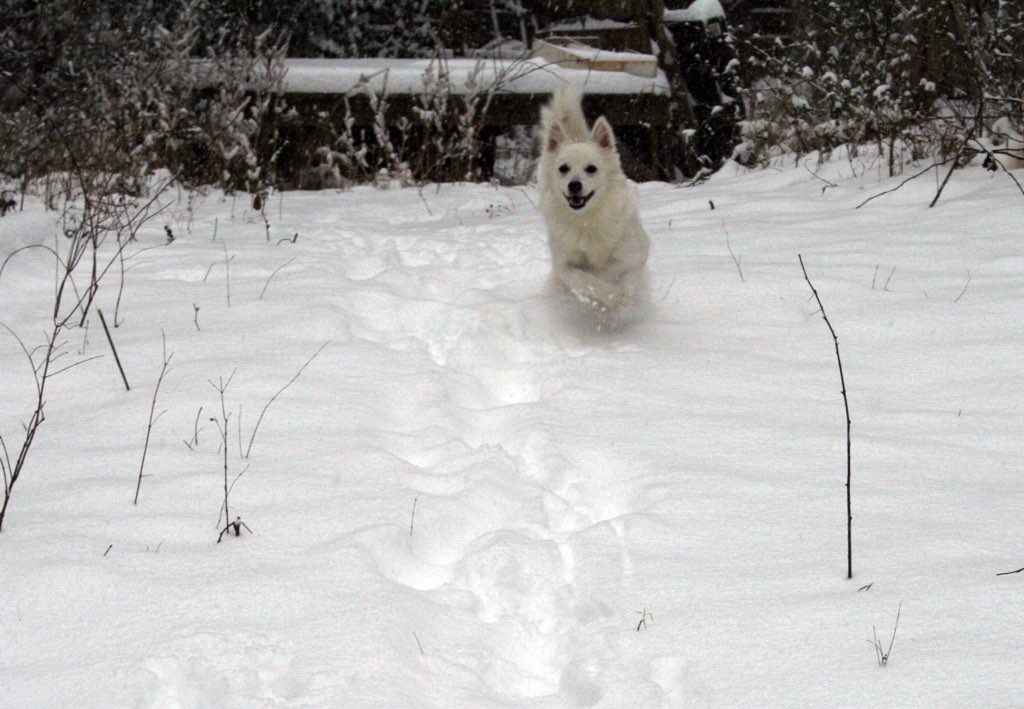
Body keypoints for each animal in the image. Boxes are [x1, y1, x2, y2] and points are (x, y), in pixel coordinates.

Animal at [536, 81, 647, 317]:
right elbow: (585, 278)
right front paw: (612, 297)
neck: (587, 219)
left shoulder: (636, 254)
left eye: (591, 169)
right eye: (563, 168)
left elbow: (622, 271)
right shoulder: (564, 265)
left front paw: (621, 299)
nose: (574, 185)